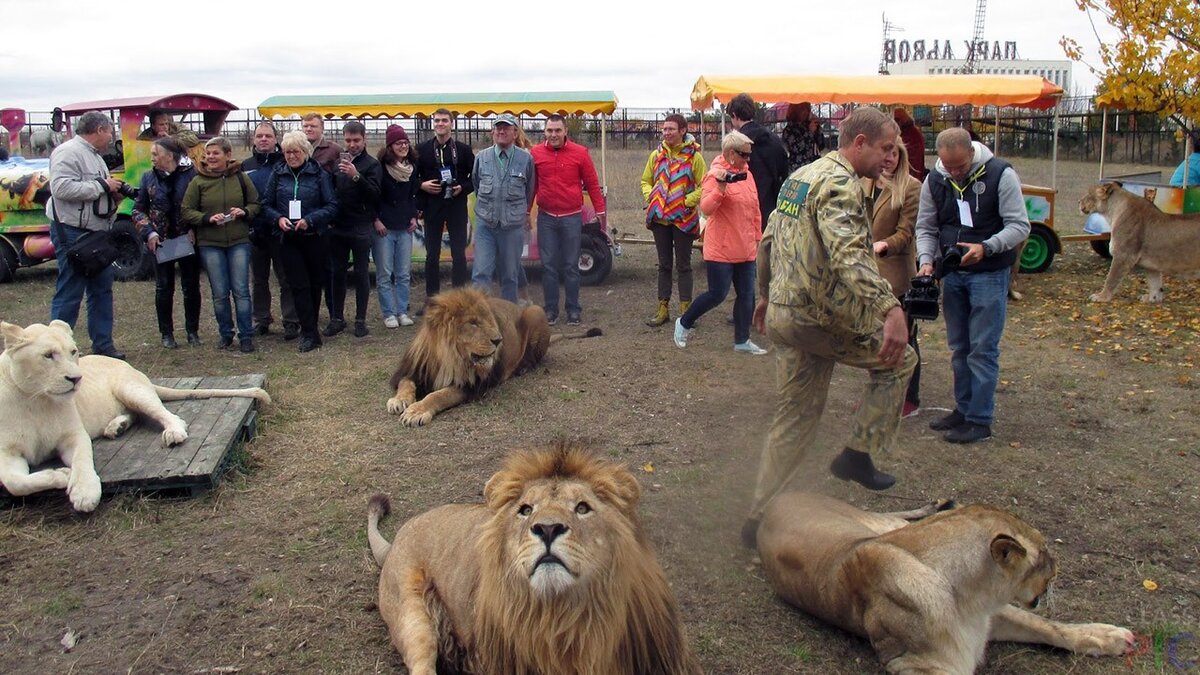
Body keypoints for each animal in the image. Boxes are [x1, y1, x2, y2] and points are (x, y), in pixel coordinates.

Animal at [0, 319, 271, 509]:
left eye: (73, 352)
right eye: (48, 355)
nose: (77, 379)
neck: (35, 399)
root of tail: (135, 370)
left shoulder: (74, 436)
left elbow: (83, 460)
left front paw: (85, 491)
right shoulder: (6, 452)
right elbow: (15, 483)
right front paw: (62, 475)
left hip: (130, 388)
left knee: (167, 414)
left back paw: (173, 432)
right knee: (135, 415)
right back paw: (115, 427)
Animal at [364, 441, 700, 672]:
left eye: (582, 507)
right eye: (526, 510)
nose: (548, 528)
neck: (561, 618)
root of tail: (395, 542)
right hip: (412, 617)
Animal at [758, 487, 1132, 672]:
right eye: (1043, 554)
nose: (1058, 568)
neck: (969, 598)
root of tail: (779, 497)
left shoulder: (993, 617)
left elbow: (1047, 626)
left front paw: (1107, 637)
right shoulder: (916, 663)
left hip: (881, 525)